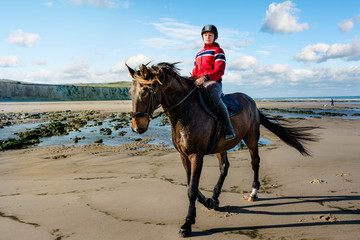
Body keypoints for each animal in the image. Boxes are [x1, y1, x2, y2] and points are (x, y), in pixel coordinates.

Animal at [125, 62, 316, 236]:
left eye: (145, 91)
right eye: (130, 93)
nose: (136, 127)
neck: (185, 113)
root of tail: (251, 101)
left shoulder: (196, 155)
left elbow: (192, 189)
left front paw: (187, 224)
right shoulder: (184, 156)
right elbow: (191, 185)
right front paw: (208, 203)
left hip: (252, 139)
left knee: (255, 163)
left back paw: (253, 192)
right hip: (221, 147)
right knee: (224, 167)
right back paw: (216, 197)